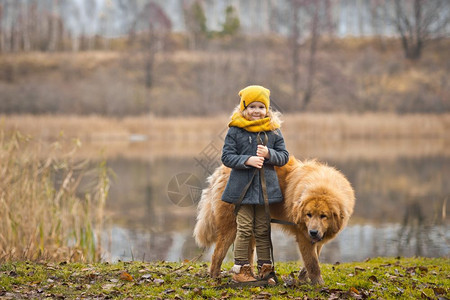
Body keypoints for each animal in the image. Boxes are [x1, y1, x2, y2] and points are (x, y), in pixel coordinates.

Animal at [193, 156, 356, 284]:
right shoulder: (303, 236)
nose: (314, 232)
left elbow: (311, 260)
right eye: (308, 214)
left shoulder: (317, 239)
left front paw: (303, 278)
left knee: (247, 254)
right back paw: (215, 277)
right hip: (232, 226)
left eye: (323, 216)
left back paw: (252, 277)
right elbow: (313, 263)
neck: (321, 186)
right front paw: (318, 284)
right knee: (217, 254)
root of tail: (222, 171)